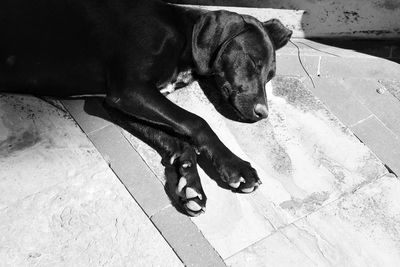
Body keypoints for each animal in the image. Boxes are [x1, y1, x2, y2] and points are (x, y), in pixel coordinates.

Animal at [1, 0, 292, 218]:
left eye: (270, 76)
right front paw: (235, 165)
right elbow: (197, 121)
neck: (183, 33)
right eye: (253, 62)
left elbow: (177, 139)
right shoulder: (131, 90)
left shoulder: (118, 103)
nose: (263, 114)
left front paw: (189, 182)